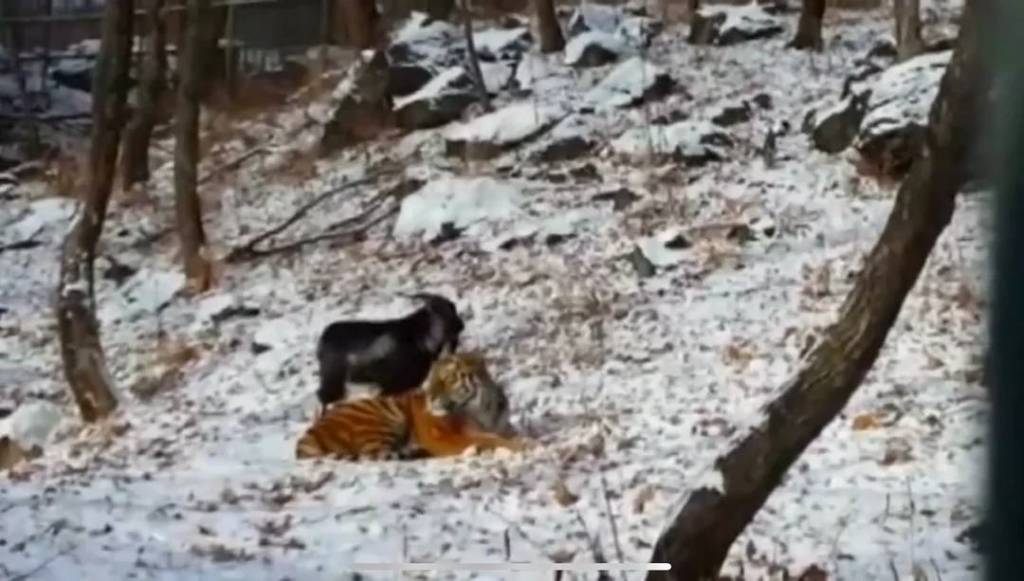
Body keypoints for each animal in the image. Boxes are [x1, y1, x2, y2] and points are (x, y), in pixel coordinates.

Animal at [295, 351, 526, 460]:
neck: (483, 409)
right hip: (385, 416)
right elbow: (491, 440)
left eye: (448, 378)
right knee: (375, 453)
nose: (429, 397)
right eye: (431, 379)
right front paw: (526, 446)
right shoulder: (449, 437)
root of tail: (307, 434)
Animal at [315, 293, 465, 414]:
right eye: (448, 311)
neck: (419, 337)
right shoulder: (394, 385)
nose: (461, 325)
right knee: (324, 398)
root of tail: (323, 340)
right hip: (334, 382)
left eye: (453, 307)